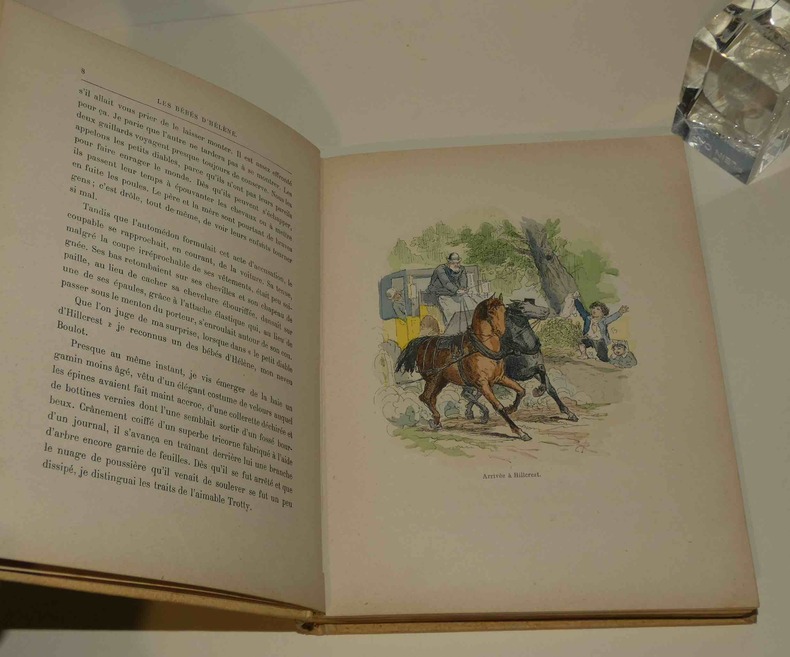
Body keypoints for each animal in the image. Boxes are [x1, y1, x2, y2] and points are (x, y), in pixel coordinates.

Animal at [395, 294, 531, 440]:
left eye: (504, 311)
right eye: (490, 312)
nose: (502, 332)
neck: (482, 348)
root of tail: (423, 341)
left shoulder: (500, 378)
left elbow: (521, 391)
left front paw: (511, 408)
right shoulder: (482, 384)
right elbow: (498, 406)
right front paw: (519, 431)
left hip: (442, 381)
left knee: (431, 398)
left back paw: (436, 421)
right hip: (433, 379)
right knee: (425, 397)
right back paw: (436, 420)